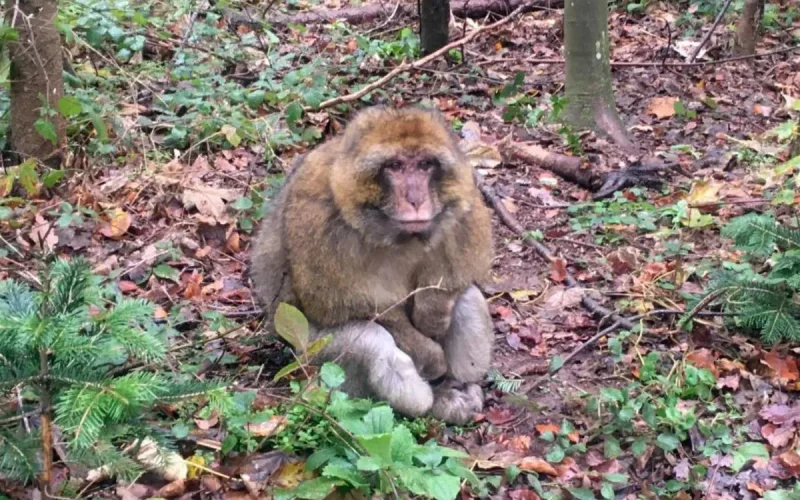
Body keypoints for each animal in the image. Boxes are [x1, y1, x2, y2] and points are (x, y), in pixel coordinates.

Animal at [249, 105, 494, 425]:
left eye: (425, 165)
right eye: (395, 166)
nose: (416, 199)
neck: (391, 230)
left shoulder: (461, 204)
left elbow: (460, 273)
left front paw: (433, 312)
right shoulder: (317, 218)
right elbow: (345, 307)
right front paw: (431, 357)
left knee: (468, 298)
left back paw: (456, 387)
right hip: (311, 355)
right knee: (370, 343)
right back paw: (428, 401)